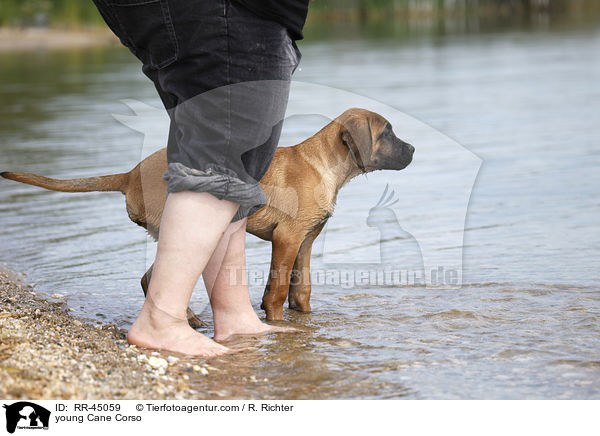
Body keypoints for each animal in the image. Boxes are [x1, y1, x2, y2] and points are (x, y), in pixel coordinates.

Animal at [1, 107, 412, 322]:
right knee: (154, 279)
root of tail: (131, 174)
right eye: (387, 133)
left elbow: (301, 290)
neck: (324, 164)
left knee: (149, 279)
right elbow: (278, 292)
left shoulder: (306, 241)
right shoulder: (287, 238)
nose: (412, 150)